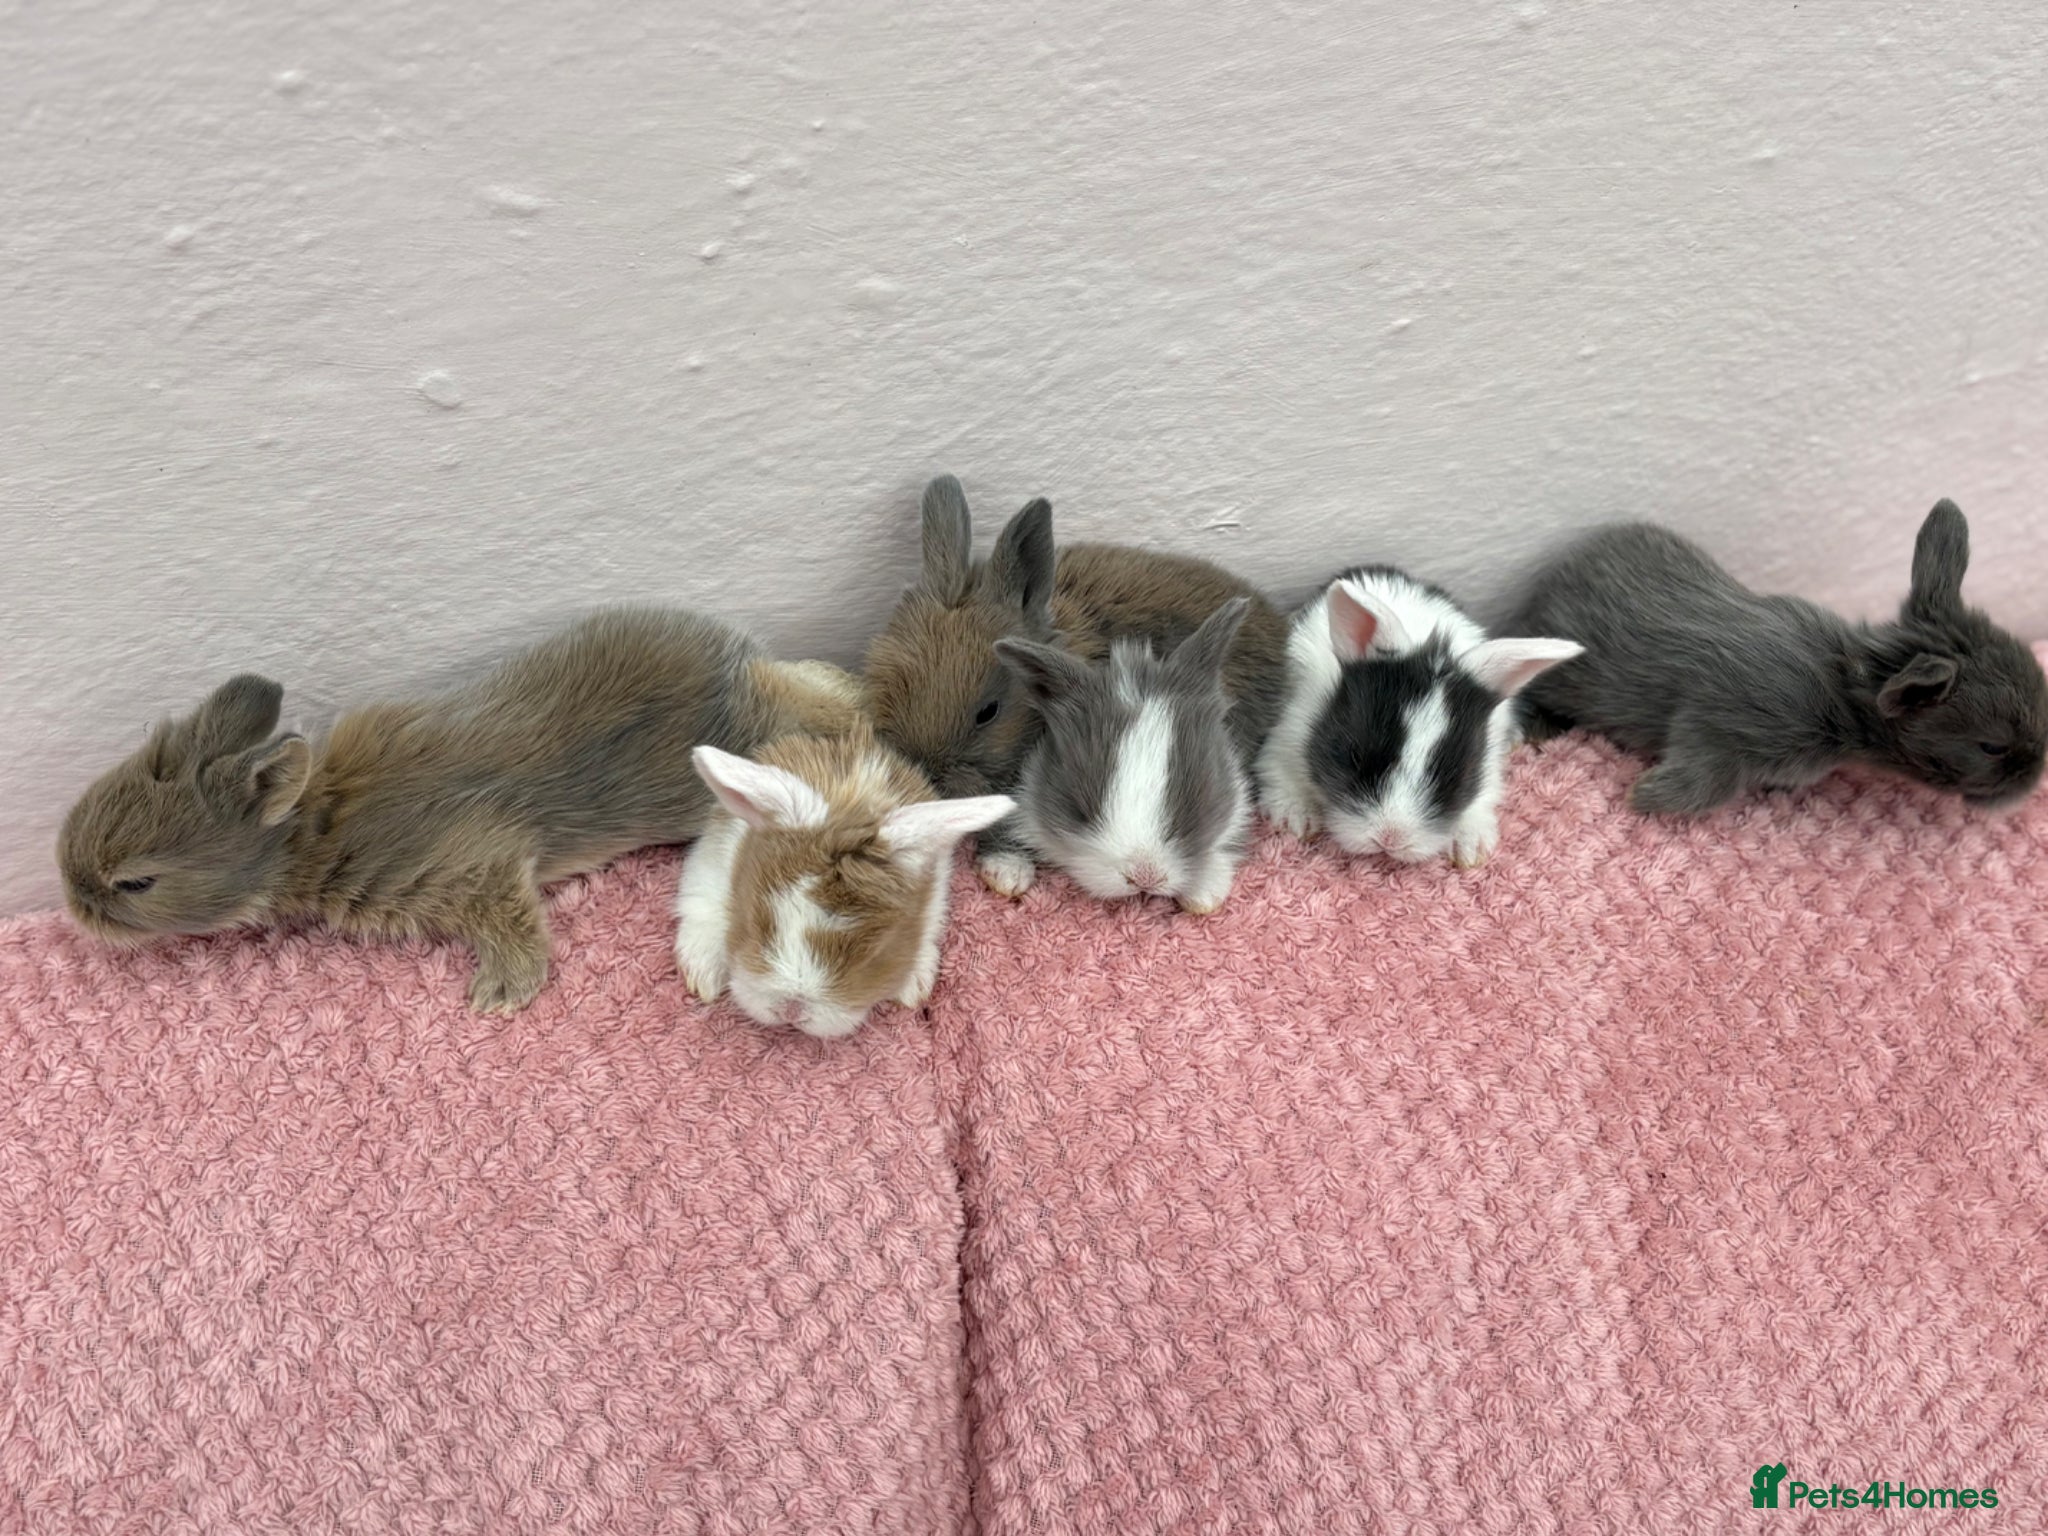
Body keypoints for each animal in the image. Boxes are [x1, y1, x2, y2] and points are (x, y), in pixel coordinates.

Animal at [57, 607, 868, 1013]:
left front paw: (501, 996)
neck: (311, 827)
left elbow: (511, 920)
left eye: (135, 883)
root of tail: (733, 662)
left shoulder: (475, 868)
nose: (71, 902)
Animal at [1256, 567, 1583, 866]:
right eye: (1354, 755)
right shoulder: (1286, 736)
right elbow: (1283, 778)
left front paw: (1470, 848)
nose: (1390, 839)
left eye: (1458, 775)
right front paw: (1297, 820)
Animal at [1504, 499, 2048, 815]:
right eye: (1992, 747)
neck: (1844, 687)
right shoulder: (1721, 727)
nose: (2034, 779)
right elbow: (1706, 780)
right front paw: (1647, 799)